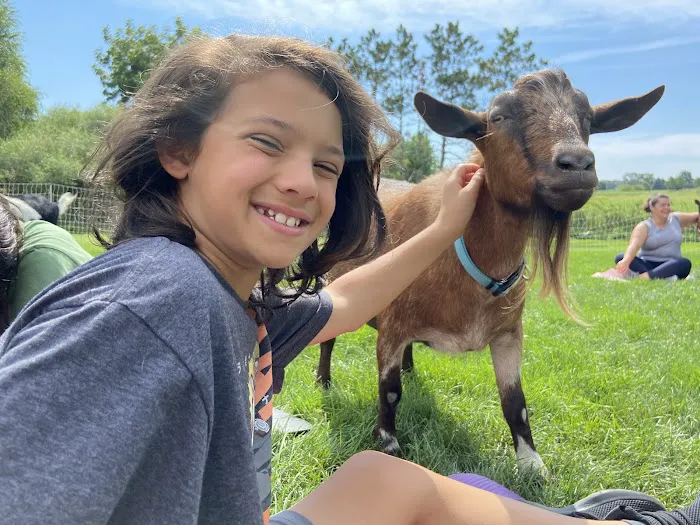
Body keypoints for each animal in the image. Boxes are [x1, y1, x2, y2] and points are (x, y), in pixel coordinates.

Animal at [317, 69, 664, 474]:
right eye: (498, 117)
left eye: (589, 118)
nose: (577, 164)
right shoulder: (391, 324)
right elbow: (388, 391)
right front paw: (388, 443)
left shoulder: (509, 333)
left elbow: (515, 401)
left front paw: (532, 463)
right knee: (328, 340)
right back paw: (324, 382)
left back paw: (410, 371)